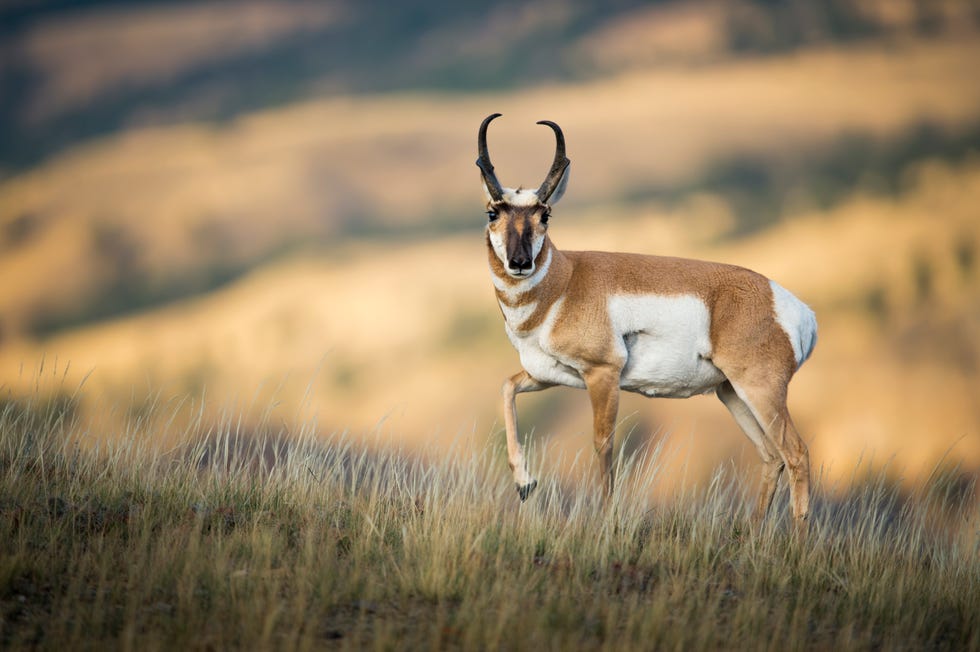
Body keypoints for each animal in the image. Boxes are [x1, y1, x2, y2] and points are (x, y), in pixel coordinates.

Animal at [478, 113, 816, 524]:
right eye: (493, 212)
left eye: (545, 214)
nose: (520, 262)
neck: (566, 280)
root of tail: (790, 305)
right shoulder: (549, 374)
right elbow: (507, 387)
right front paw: (525, 484)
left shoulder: (602, 374)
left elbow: (604, 443)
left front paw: (605, 517)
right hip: (733, 392)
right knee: (771, 457)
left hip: (761, 390)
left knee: (796, 453)